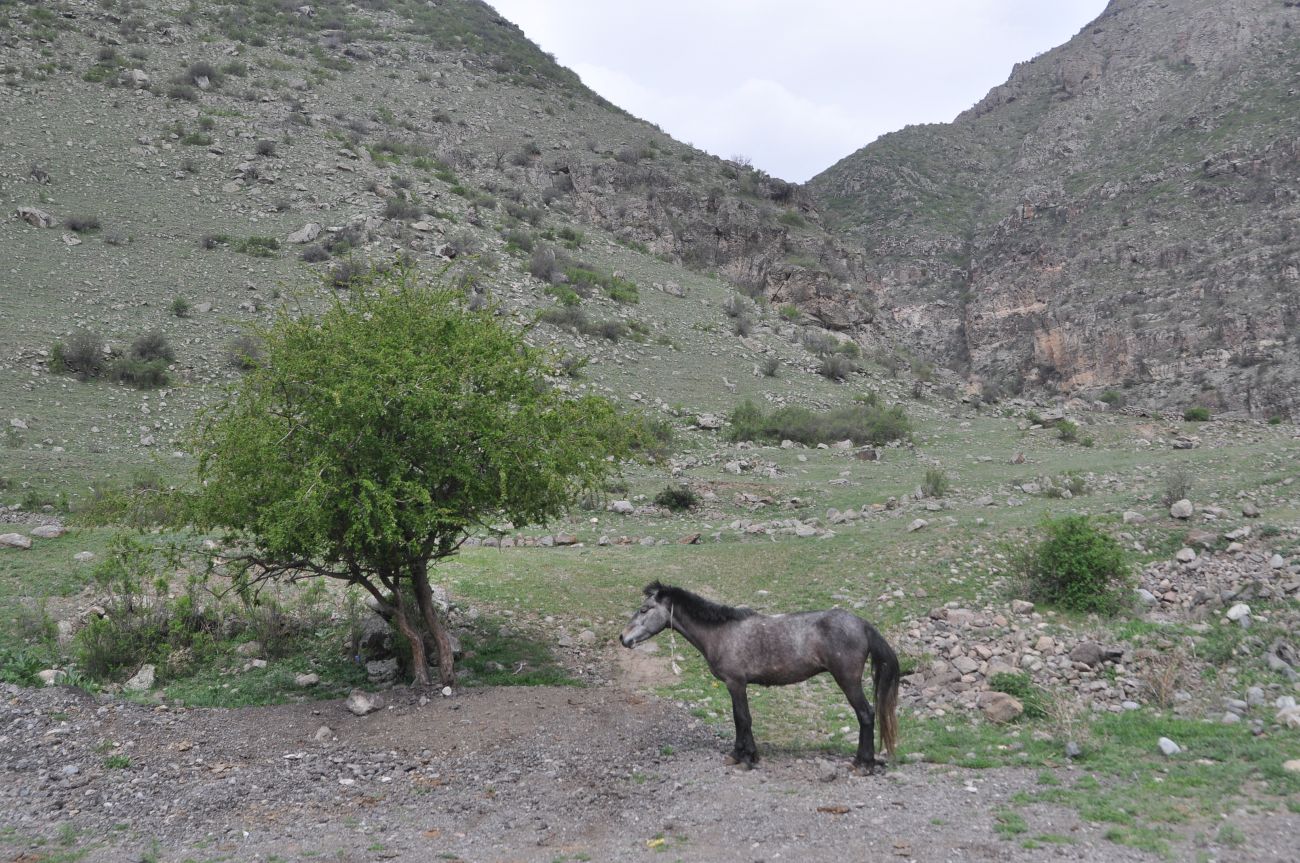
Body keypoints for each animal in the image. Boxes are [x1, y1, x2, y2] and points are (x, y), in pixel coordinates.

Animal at [618, 582, 894, 769]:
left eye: (644, 610)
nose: (623, 638)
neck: (721, 633)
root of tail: (862, 624)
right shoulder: (733, 685)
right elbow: (738, 719)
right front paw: (739, 754)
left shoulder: (736, 683)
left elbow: (743, 718)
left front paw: (747, 757)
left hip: (848, 680)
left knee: (866, 714)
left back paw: (863, 764)